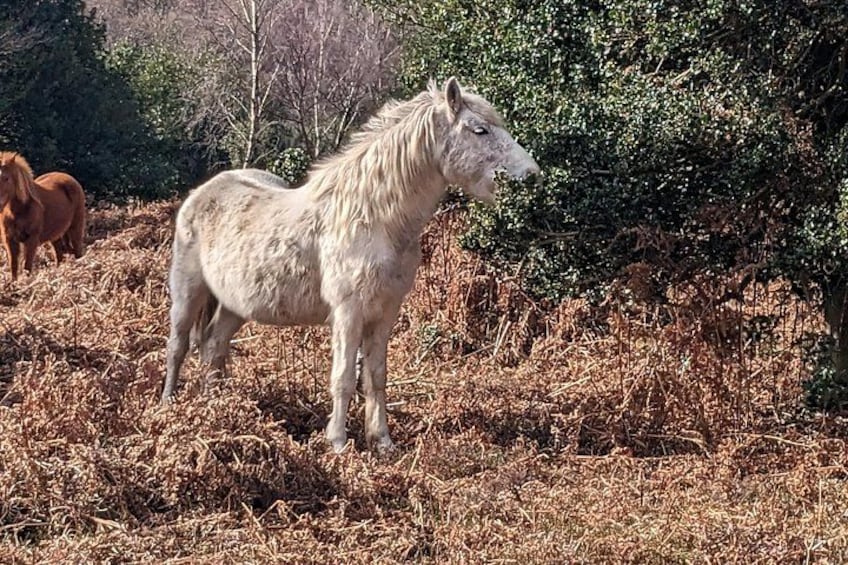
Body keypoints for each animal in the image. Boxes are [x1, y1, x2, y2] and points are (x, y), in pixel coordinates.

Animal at [0, 152, 87, 281]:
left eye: (6, 178)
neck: (19, 210)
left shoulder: (31, 239)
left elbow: (27, 265)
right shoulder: (10, 240)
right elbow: (13, 265)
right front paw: (14, 283)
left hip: (75, 228)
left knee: (77, 251)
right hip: (56, 235)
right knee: (59, 255)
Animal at [162, 77, 541, 453]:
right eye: (480, 130)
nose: (531, 176)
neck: (373, 217)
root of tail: (204, 192)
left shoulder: (385, 313)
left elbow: (376, 376)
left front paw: (383, 442)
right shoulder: (349, 312)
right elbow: (343, 377)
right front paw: (339, 443)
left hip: (235, 305)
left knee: (214, 347)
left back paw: (216, 405)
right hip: (188, 291)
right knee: (178, 347)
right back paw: (168, 404)